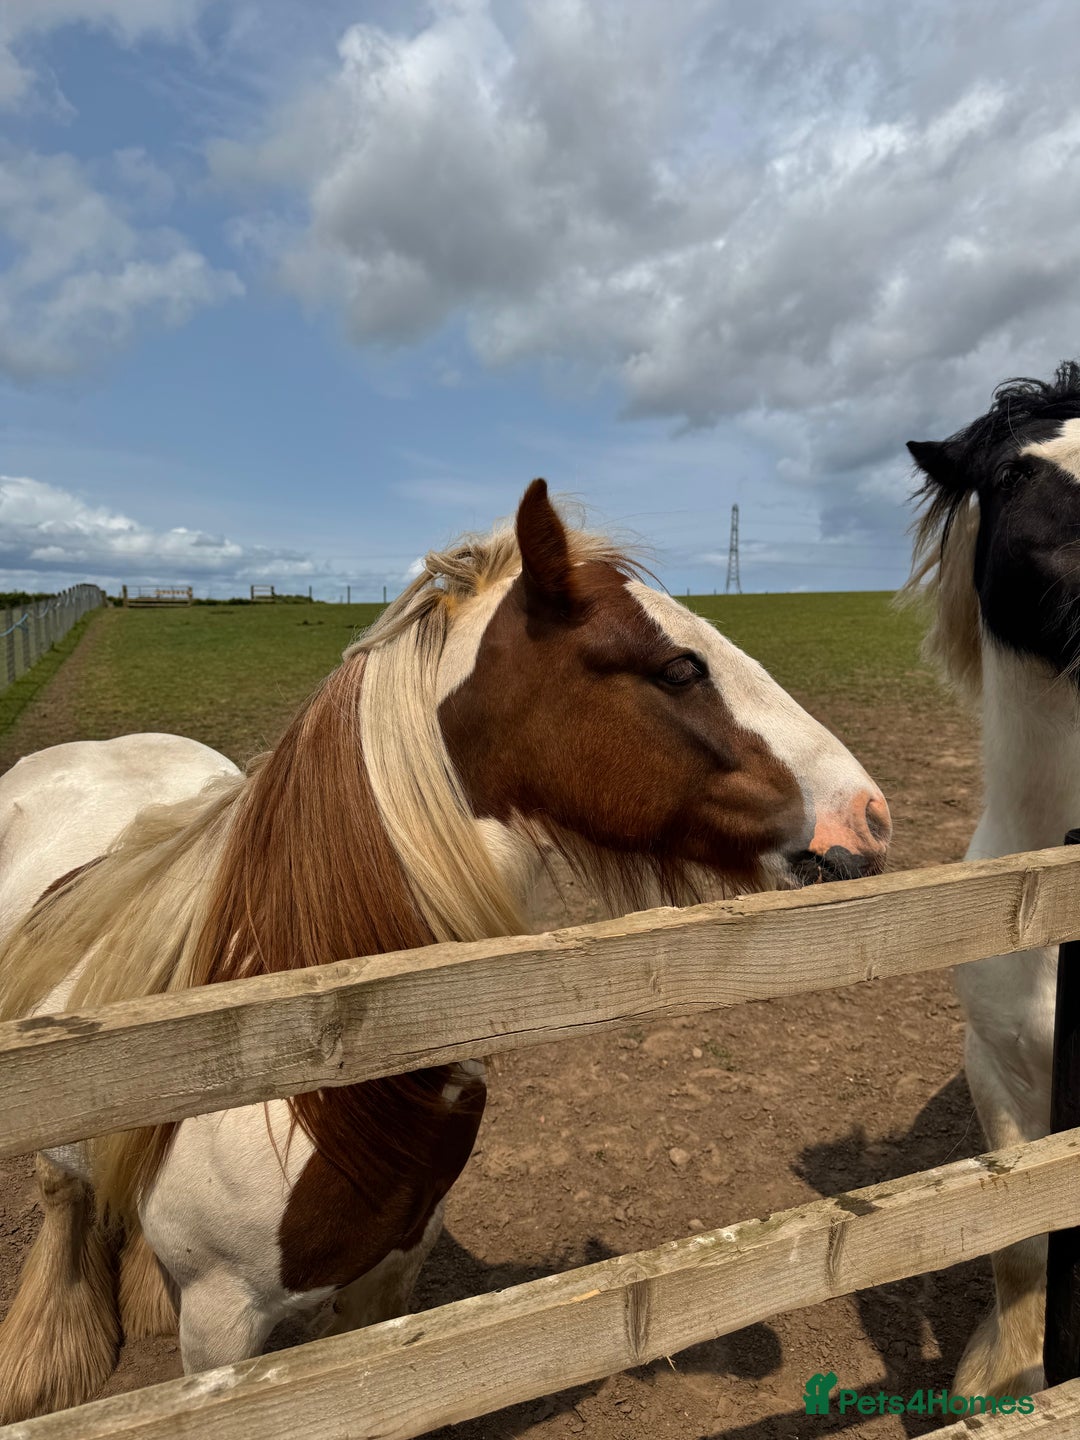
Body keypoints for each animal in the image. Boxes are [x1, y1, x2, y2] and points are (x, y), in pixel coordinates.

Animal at [0, 479, 890, 1421]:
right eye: (679, 668)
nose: (868, 814)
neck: (306, 1079)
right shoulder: (221, 1324)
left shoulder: (392, 1276)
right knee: (62, 1195)